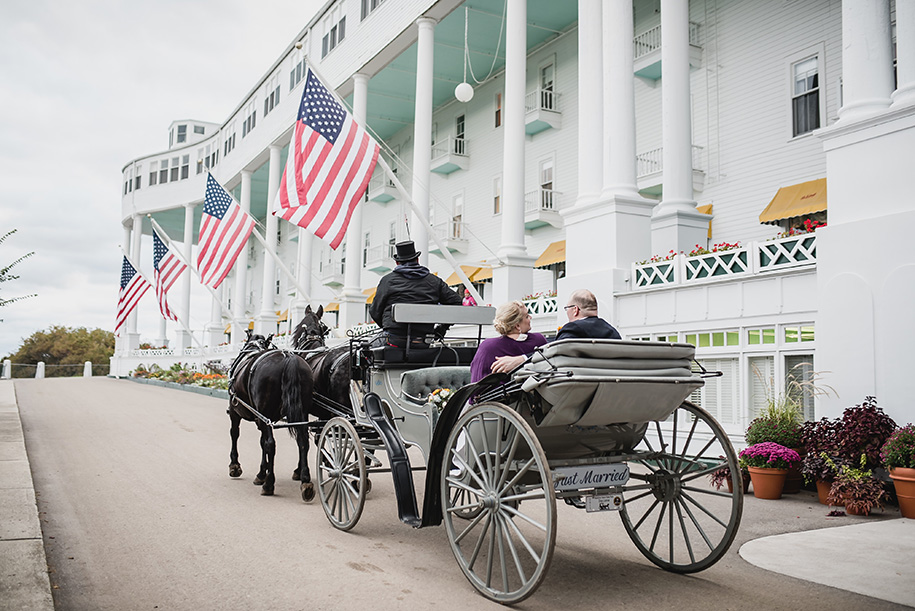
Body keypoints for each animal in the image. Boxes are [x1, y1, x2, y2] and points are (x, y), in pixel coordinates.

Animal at [227, 332, 324, 500]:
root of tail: (288, 358)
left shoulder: (236, 411)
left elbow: (236, 434)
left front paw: (235, 466)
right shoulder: (261, 420)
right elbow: (261, 442)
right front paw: (261, 472)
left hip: (264, 413)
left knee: (271, 444)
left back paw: (269, 484)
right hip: (301, 412)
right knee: (302, 441)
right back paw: (305, 480)